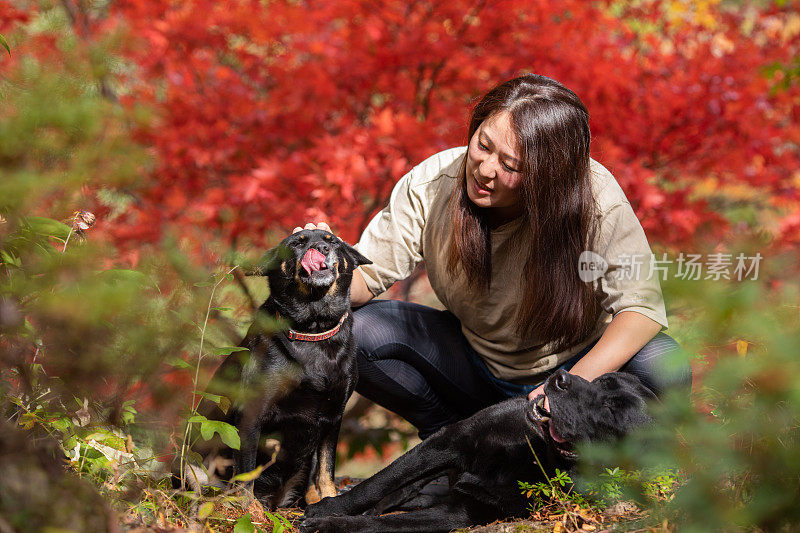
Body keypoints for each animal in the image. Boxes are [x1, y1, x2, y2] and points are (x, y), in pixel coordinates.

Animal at [178, 228, 372, 508]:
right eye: (296, 243)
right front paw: (250, 512)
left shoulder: (334, 415)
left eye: (332, 241)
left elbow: (326, 471)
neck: (313, 330)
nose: (321, 249)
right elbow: (246, 475)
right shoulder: (251, 414)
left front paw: (331, 501)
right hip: (191, 465)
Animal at [304, 368, 652, 528]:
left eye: (611, 410)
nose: (560, 378)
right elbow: (376, 484)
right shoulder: (448, 441)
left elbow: (388, 524)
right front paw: (326, 510)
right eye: (601, 380)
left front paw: (330, 524)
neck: (537, 455)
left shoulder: (463, 514)